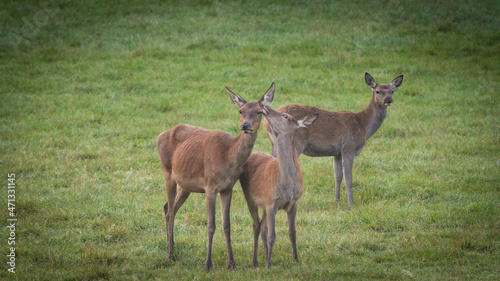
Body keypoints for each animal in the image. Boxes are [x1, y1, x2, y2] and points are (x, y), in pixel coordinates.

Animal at [157, 82, 276, 268]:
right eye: (240, 110)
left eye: (259, 111)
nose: (245, 125)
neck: (227, 157)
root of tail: (159, 136)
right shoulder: (210, 186)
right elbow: (211, 225)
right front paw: (208, 264)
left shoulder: (227, 188)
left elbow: (226, 224)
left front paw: (232, 263)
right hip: (167, 171)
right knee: (169, 210)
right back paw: (169, 255)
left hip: (185, 185)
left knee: (169, 208)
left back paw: (173, 247)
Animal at [237, 104, 316, 266]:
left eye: (285, 115)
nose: (264, 106)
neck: (287, 185)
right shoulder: (271, 202)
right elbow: (272, 235)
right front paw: (268, 265)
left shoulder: (293, 203)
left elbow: (292, 233)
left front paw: (296, 260)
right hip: (250, 197)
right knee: (256, 225)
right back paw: (255, 261)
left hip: (264, 204)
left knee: (262, 227)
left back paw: (267, 257)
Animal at [264, 73, 404, 207]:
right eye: (377, 91)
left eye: (392, 91)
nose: (388, 100)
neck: (363, 126)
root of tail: (266, 122)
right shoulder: (349, 148)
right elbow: (348, 178)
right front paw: (351, 204)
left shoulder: (337, 152)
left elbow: (338, 176)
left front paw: (337, 200)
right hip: (296, 143)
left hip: (274, 143)